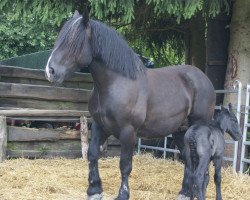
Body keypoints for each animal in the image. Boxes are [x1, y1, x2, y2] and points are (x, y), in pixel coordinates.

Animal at [44, 10, 215, 200]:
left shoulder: (128, 131)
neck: (116, 83)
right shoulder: (99, 126)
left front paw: (122, 195)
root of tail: (203, 78)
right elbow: (93, 154)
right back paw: (185, 193)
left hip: (198, 125)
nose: (50, 71)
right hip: (180, 129)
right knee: (188, 158)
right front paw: (94, 190)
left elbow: (125, 164)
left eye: (75, 42)